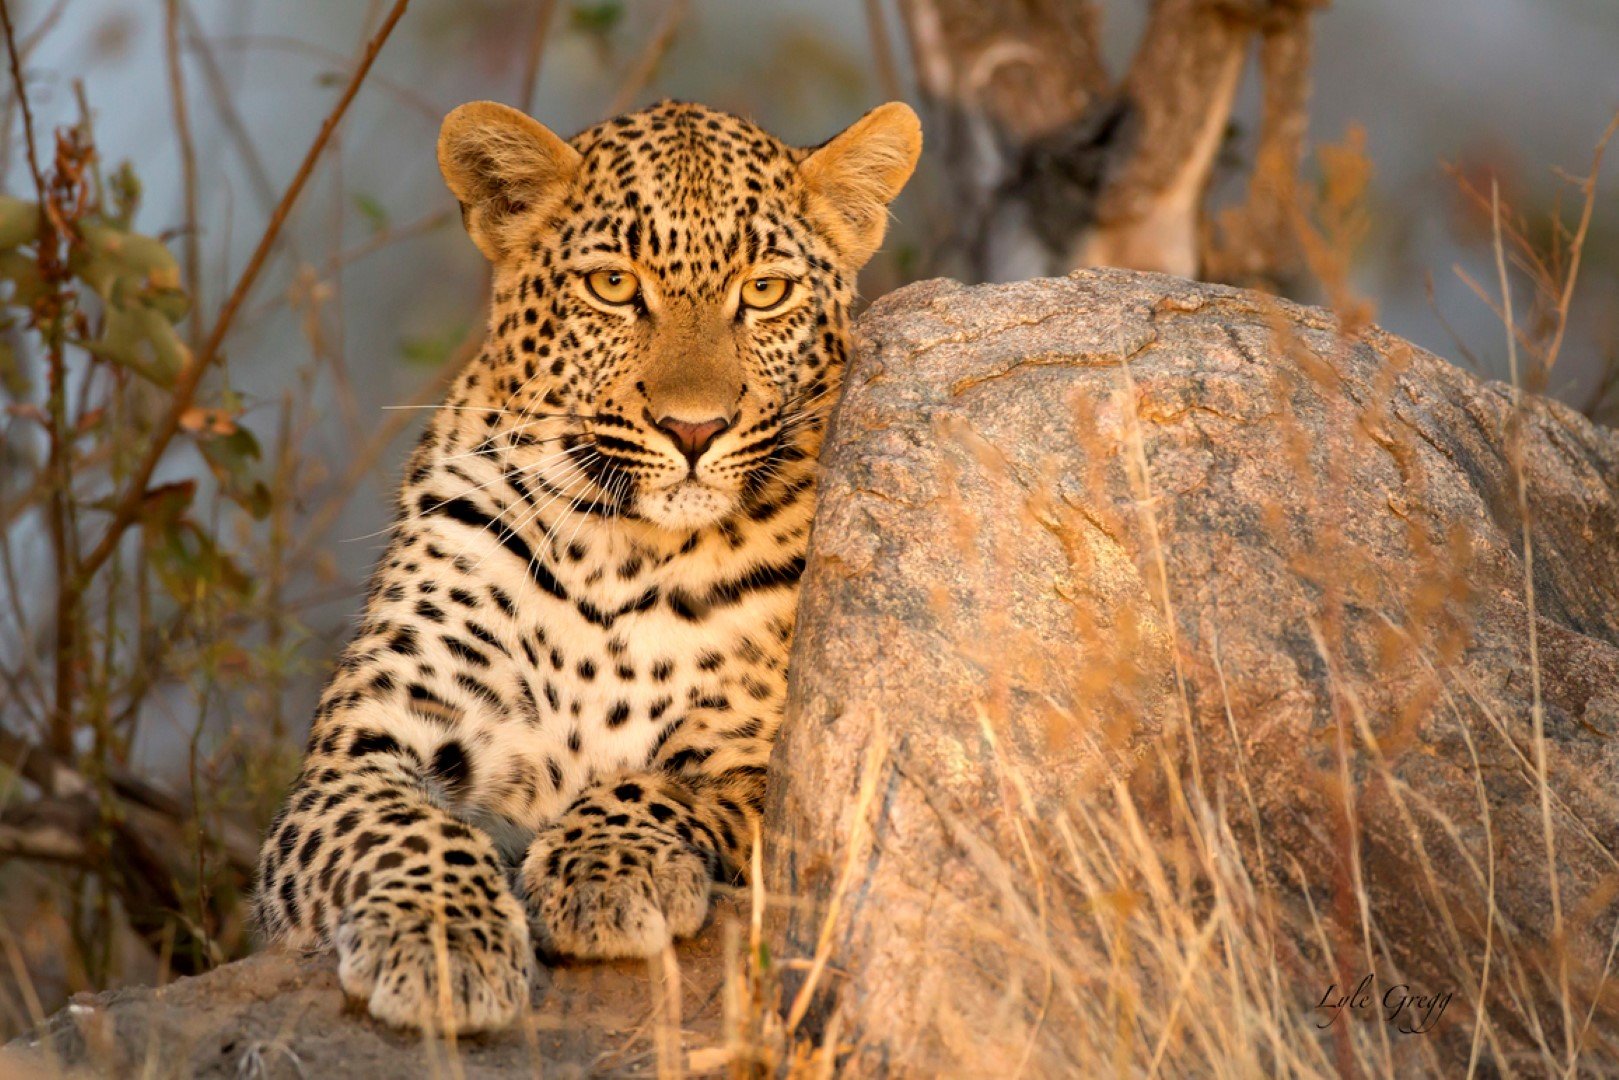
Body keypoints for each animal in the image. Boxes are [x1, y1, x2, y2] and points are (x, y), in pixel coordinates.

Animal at [246, 97, 919, 1036]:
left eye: (765, 292)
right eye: (611, 286)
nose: (693, 428)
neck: (622, 556)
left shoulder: (778, 770)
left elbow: (665, 786)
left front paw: (606, 869)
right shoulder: (360, 753)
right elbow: (408, 828)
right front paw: (441, 944)